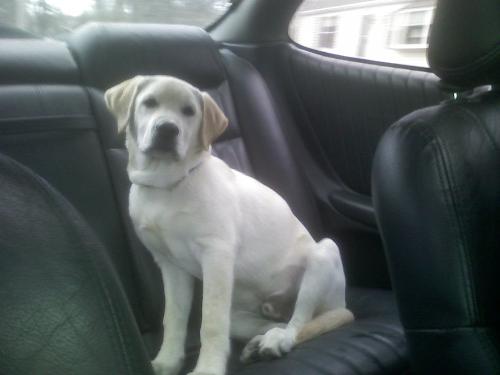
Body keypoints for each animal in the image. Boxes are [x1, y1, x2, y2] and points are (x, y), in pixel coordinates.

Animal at [105, 76, 354, 375]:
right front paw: (167, 361)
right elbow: (173, 318)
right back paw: (259, 343)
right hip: (240, 317)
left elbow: (211, 322)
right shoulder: (171, 265)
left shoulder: (217, 255)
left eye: (189, 111)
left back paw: (278, 340)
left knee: (299, 322)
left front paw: (208, 369)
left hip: (323, 253)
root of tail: (339, 303)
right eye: (149, 103)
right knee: (278, 322)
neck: (165, 184)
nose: (167, 129)